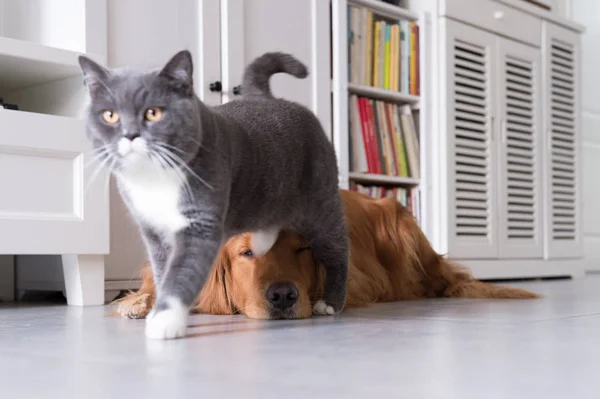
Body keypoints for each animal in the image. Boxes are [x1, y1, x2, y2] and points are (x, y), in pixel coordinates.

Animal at [80, 50, 352, 340]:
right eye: (110, 115)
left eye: (153, 113)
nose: (130, 135)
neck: (154, 178)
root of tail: (268, 98)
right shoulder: (153, 232)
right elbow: (163, 273)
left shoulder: (200, 226)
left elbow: (181, 274)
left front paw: (165, 322)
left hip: (320, 203)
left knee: (337, 248)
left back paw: (330, 303)